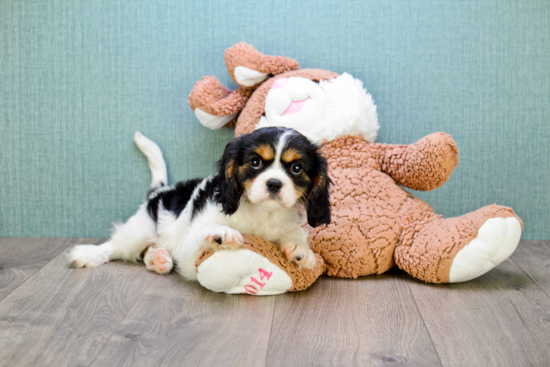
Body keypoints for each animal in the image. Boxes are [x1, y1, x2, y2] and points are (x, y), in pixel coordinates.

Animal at [67, 128, 330, 280]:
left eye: (296, 168)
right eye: (255, 162)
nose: (274, 183)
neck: (263, 213)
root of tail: (161, 190)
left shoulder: (289, 225)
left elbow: (293, 235)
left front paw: (300, 251)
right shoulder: (188, 252)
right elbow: (203, 234)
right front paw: (222, 233)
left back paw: (158, 258)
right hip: (141, 228)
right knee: (116, 246)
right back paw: (87, 254)